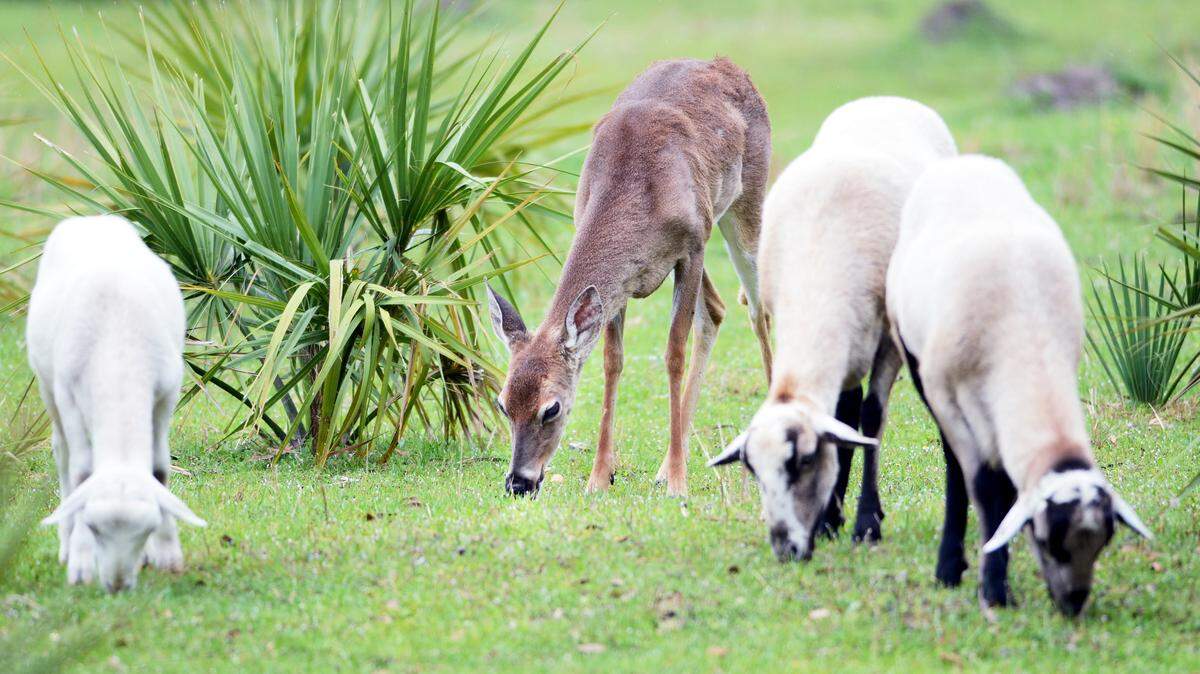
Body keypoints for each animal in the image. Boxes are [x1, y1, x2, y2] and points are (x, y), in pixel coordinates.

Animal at [30, 216, 205, 593]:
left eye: (147, 528)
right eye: (95, 528)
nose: (117, 586)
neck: (119, 360)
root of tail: (91, 218)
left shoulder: (166, 395)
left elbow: (159, 468)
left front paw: (167, 555)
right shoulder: (69, 397)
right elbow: (82, 474)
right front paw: (80, 564)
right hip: (48, 387)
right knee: (62, 455)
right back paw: (66, 546)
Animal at [487, 57, 771, 497]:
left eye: (551, 408)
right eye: (502, 403)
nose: (519, 482)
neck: (636, 188)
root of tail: (728, 65)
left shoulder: (692, 247)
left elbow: (673, 353)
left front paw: (678, 482)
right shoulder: (620, 286)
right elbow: (612, 361)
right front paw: (600, 476)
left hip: (745, 205)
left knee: (759, 311)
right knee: (717, 308)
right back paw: (664, 465)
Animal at [709, 97, 956, 561]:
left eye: (803, 461)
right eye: (754, 472)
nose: (785, 548)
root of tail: (885, 98)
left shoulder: (886, 341)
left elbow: (871, 419)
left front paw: (866, 522)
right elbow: (843, 420)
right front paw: (829, 520)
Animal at [886, 155, 1151, 615]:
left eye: (1102, 545)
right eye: (1048, 542)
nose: (1074, 604)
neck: (1025, 334)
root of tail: (966, 161)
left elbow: (1009, 490)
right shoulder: (946, 393)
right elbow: (984, 486)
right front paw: (994, 589)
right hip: (916, 358)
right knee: (955, 466)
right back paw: (950, 564)